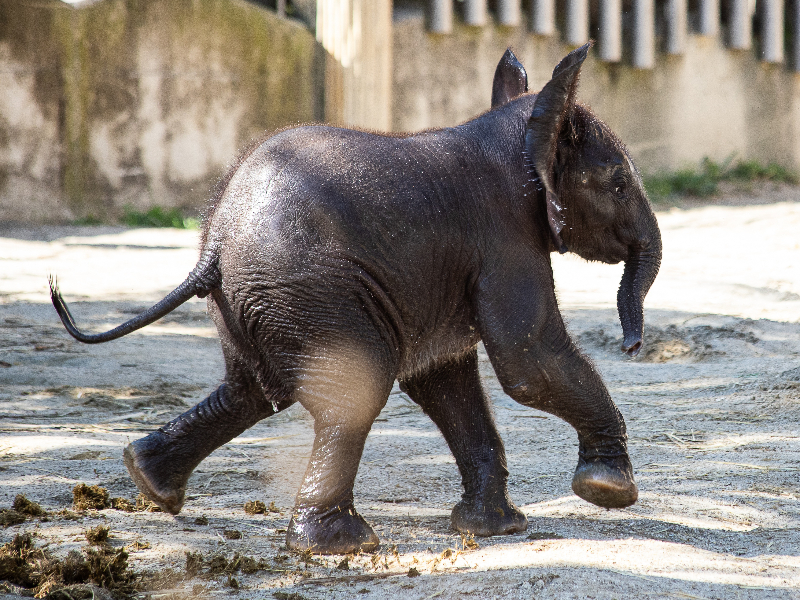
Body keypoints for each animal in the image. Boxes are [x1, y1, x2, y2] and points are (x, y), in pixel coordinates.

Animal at [51, 44, 664, 556]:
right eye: (617, 184)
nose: (632, 346)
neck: (523, 129)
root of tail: (216, 245)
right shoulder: (505, 238)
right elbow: (526, 361)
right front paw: (608, 490)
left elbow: (445, 376)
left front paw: (497, 530)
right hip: (308, 289)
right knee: (354, 389)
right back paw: (340, 545)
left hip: (256, 299)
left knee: (252, 390)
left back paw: (150, 483)